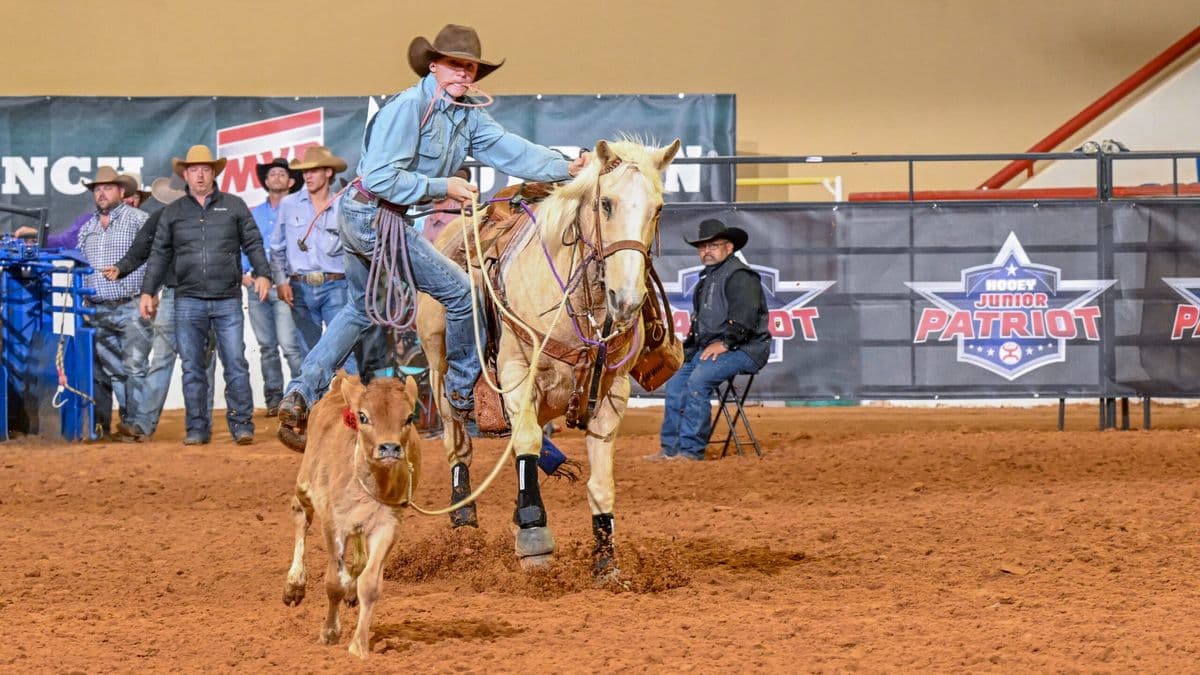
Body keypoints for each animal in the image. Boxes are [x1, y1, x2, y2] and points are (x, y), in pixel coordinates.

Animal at [416, 138, 681, 578]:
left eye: (658, 208)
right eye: (606, 203)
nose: (626, 300)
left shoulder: (613, 391)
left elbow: (600, 479)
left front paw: (606, 557)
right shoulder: (515, 374)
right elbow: (525, 443)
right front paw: (533, 534)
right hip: (439, 367)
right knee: (457, 441)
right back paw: (463, 516)